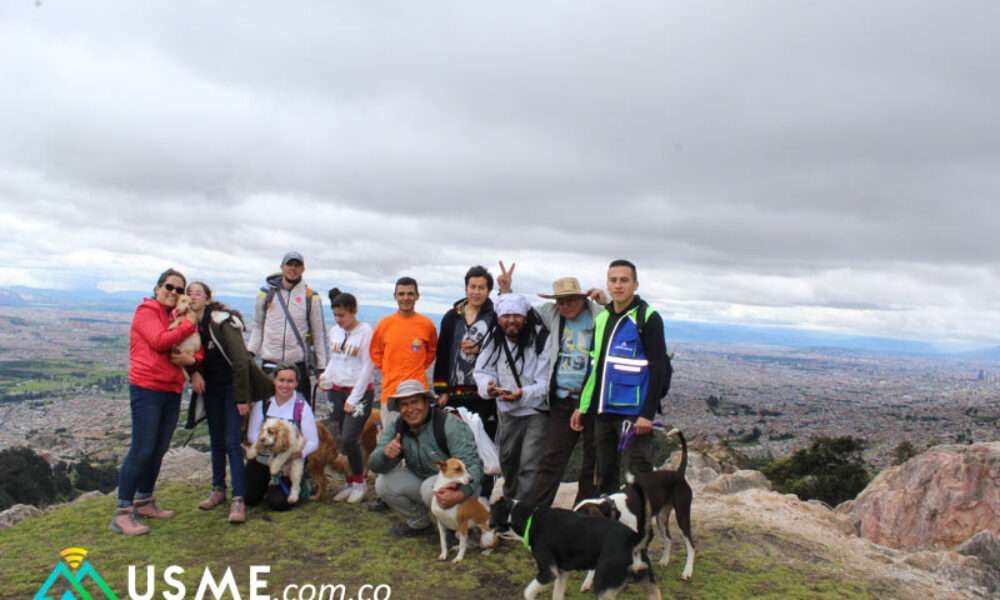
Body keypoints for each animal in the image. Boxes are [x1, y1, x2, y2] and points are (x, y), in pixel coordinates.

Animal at [488, 488, 660, 600]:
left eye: (492, 514)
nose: (487, 525)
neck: (532, 518)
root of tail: (633, 540)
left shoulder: (549, 572)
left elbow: (528, 592)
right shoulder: (562, 572)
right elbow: (557, 596)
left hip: (604, 586)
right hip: (647, 582)